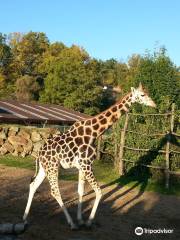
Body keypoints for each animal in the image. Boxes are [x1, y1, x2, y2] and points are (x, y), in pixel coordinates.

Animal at [22, 83, 155, 230]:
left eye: (147, 93)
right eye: (142, 95)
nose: (154, 105)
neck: (93, 132)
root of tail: (39, 153)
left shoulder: (82, 166)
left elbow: (80, 191)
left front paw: (81, 220)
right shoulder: (87, 165)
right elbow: (99, 192)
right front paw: (88, 221)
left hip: (44, 167)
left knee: (33, 185)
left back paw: (25, 218)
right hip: (52, 167)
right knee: (54, 191)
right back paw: (71, 223)